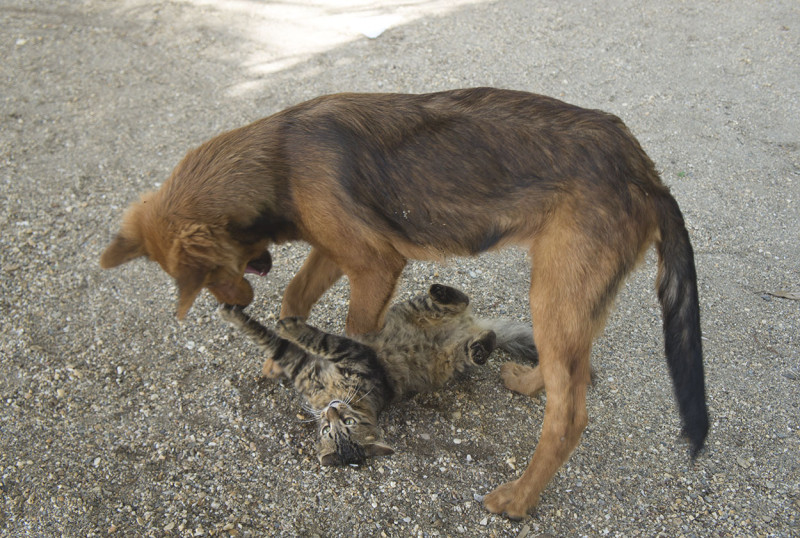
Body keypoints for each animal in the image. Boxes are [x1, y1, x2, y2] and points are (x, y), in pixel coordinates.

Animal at [219, 282, 536, 462]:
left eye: (347, 423)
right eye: (326, 430)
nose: (331, 411)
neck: (333, 393)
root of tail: (469, 328)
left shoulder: (352, 354)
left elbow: (311, 339)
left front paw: (287, 325)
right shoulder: (301, 367)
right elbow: (262, 336)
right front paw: (232, 313)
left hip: (438, 332)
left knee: (465, 304)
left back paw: (447, 298)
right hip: (438, 331)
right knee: (476, 323)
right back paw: (474, 335)